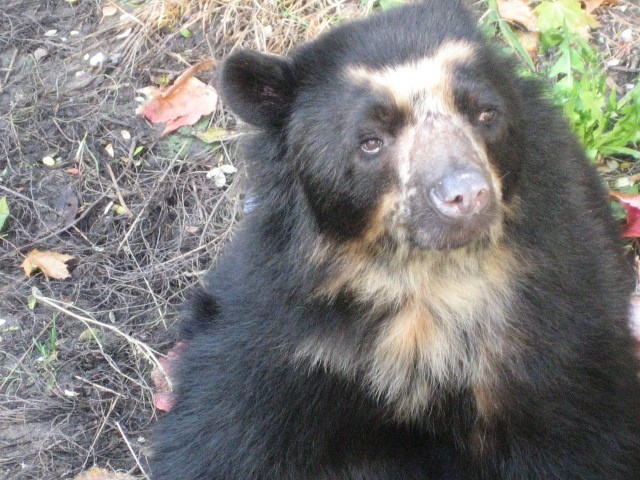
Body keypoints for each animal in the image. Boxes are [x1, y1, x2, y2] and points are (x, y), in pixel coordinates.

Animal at [149, 1, 640, 478]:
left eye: (485, 114)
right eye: (371, 141)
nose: (467, 195)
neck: (424, 279)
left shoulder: (553, 326)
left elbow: (581, 433)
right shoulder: (285, 333)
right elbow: (226, 428)